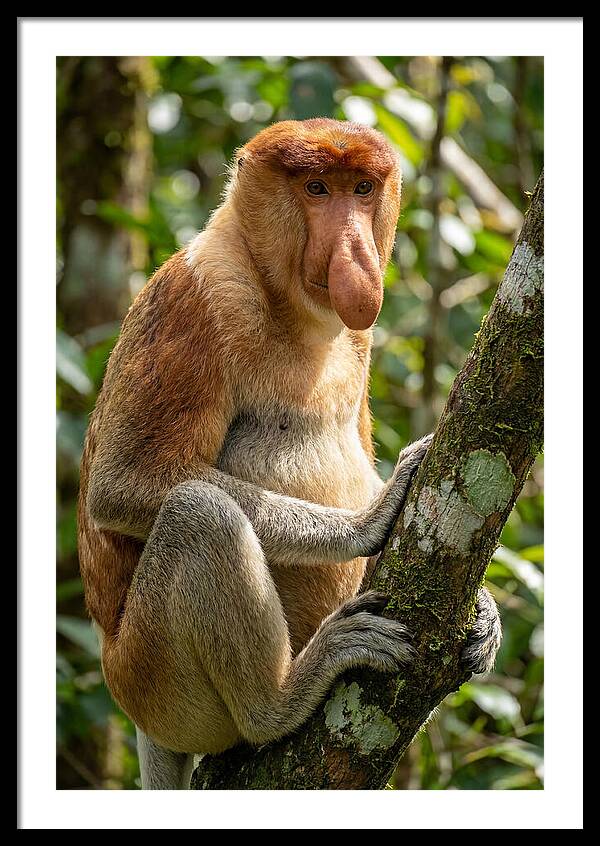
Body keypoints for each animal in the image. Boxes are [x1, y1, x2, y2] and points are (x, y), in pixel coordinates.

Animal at [77, 118, 501, 790]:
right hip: (151, 682)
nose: (355, 251)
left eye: (361, 188)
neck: (293, 307)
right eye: (316, 189)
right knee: (200, 514)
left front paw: (484, 611)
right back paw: (282, 698)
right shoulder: (196, 299)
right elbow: (123, 483)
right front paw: (369, 521)